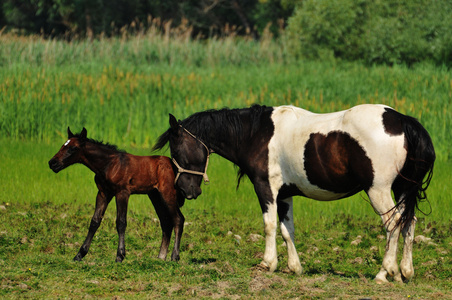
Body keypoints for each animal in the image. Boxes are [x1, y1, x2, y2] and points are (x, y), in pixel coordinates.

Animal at [154, 104, 436, 282]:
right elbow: (286, 229)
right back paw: (404, 272)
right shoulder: (285, 194)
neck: (256, 134)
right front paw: (294, 267)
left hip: (379, 191)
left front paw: (268, 263)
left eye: (176, 150)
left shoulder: (266, 187)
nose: (187, 190)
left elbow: (269, 225)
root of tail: (403, 121)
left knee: (393, 224)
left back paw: (384, 272)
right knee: (408, 223)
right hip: (402, 190)